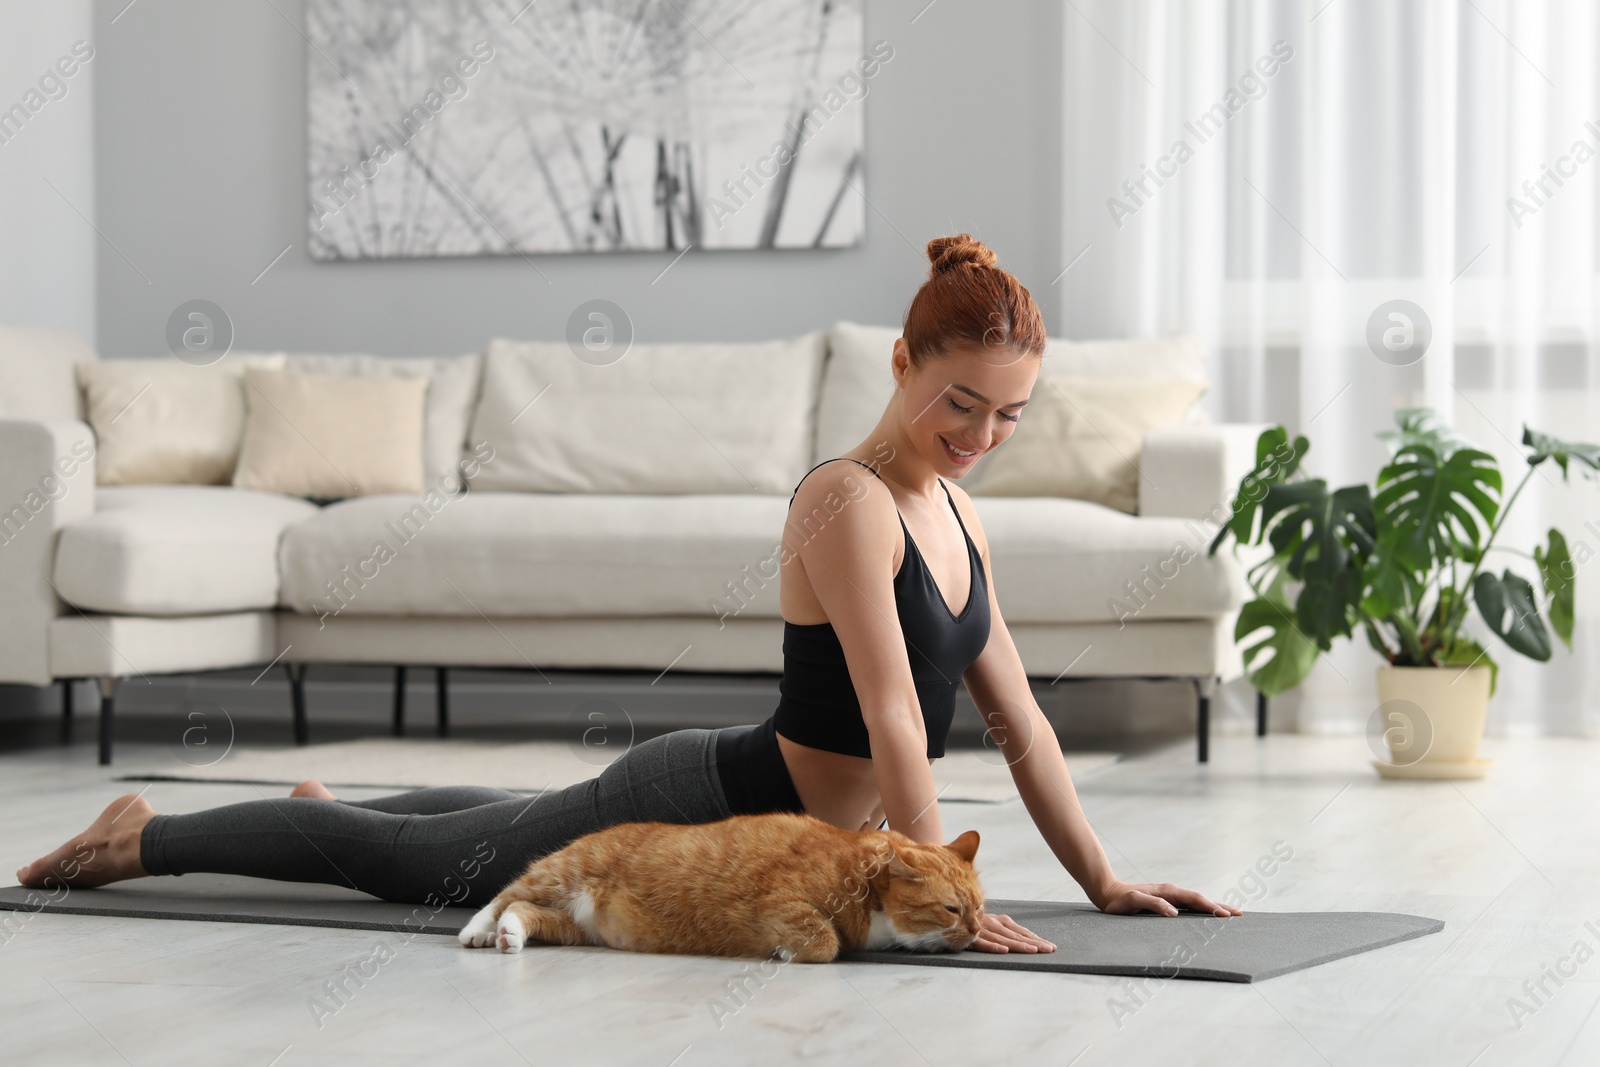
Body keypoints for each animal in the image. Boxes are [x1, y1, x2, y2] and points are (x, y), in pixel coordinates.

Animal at [454, 812, 985, 966]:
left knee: (525, 910)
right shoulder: (782, 901)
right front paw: (786, 950)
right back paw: (478, 930)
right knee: (505, 893)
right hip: (562, 871)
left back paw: (510, 935)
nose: (977, 930)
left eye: (979, 907)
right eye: (951, 909)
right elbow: (824, 940)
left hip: (575, 925)